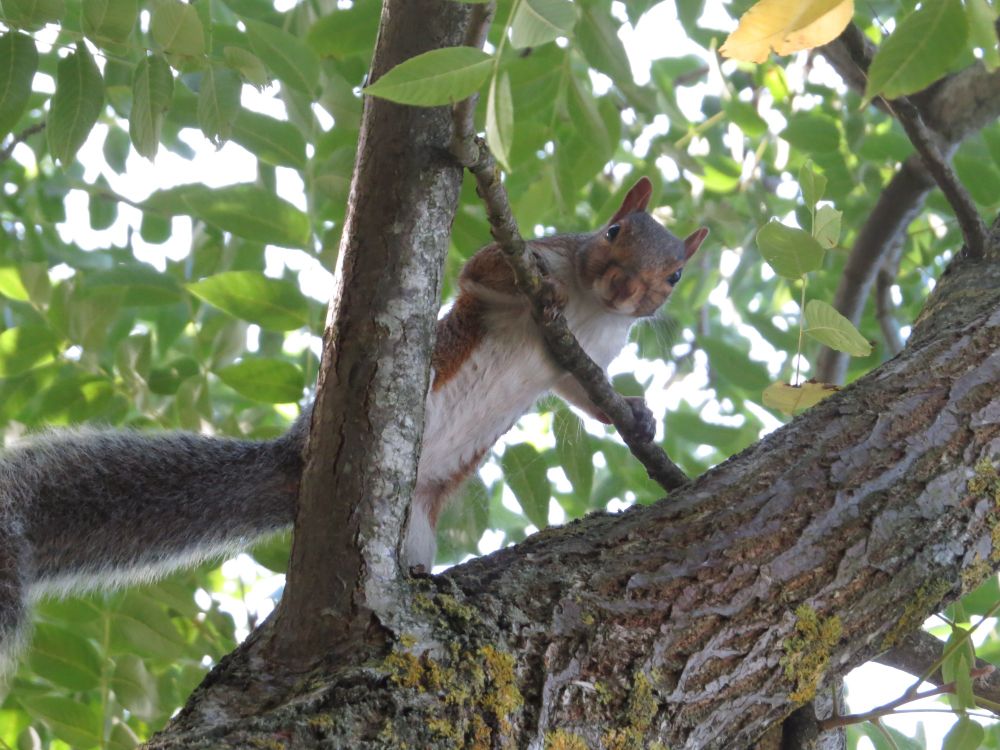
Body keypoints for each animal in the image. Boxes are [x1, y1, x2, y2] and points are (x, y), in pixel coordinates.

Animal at [0, 177, 706, 677]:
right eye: (612, 231)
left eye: (674, 275)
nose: (626, 288)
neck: (592, 308)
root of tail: (295, 463)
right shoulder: (532, 266)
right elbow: (483, 270)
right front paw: (541, 288)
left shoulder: (589, 357)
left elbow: (583, 391)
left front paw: (635, 413)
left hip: (415, 523)